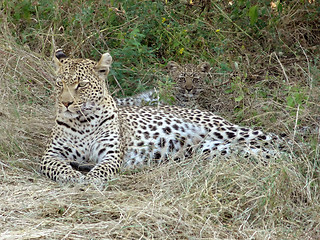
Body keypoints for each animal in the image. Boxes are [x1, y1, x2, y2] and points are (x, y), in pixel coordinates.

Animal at [40, 49, 282, 184]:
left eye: (80, 85)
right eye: (60, 84)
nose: (65, 103)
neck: (83, 121)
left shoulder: (110, 155)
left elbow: (101, 169)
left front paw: (89, 179)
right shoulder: (50, 155)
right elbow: (60, 167)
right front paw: (74, 175)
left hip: (223, 129)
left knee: (273, 138)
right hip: (212, 148)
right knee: (252, 150)